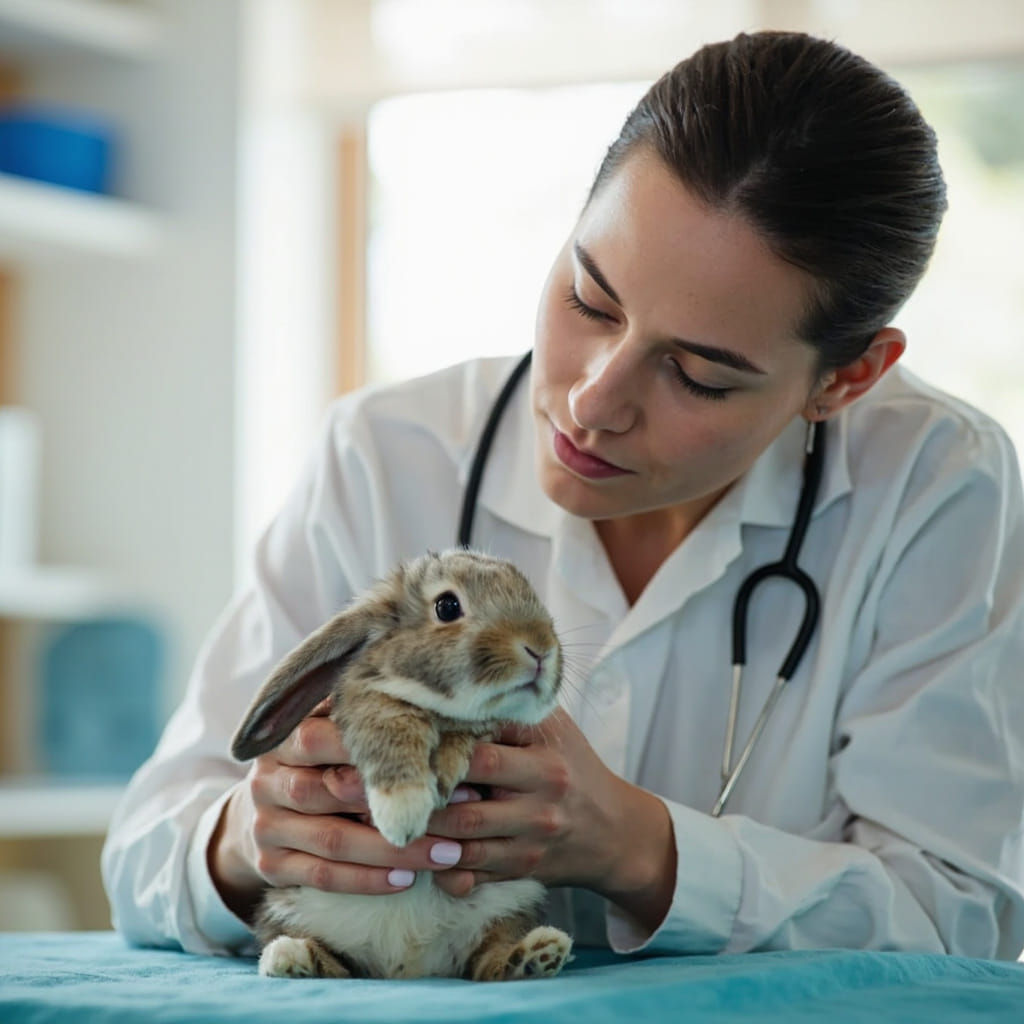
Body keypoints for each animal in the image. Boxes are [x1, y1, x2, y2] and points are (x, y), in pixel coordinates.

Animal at [231, 548, 574, 981]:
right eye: (447, 606)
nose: (540, 648)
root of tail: (407, 963)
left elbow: (465, 732)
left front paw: (443, 773)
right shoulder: (370, 703)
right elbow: (391, 728)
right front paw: (403, 814)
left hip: (510, 903)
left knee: (489, 960)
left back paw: (537, 954)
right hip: (292, 909)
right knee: (337, 967)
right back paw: (291, 957)